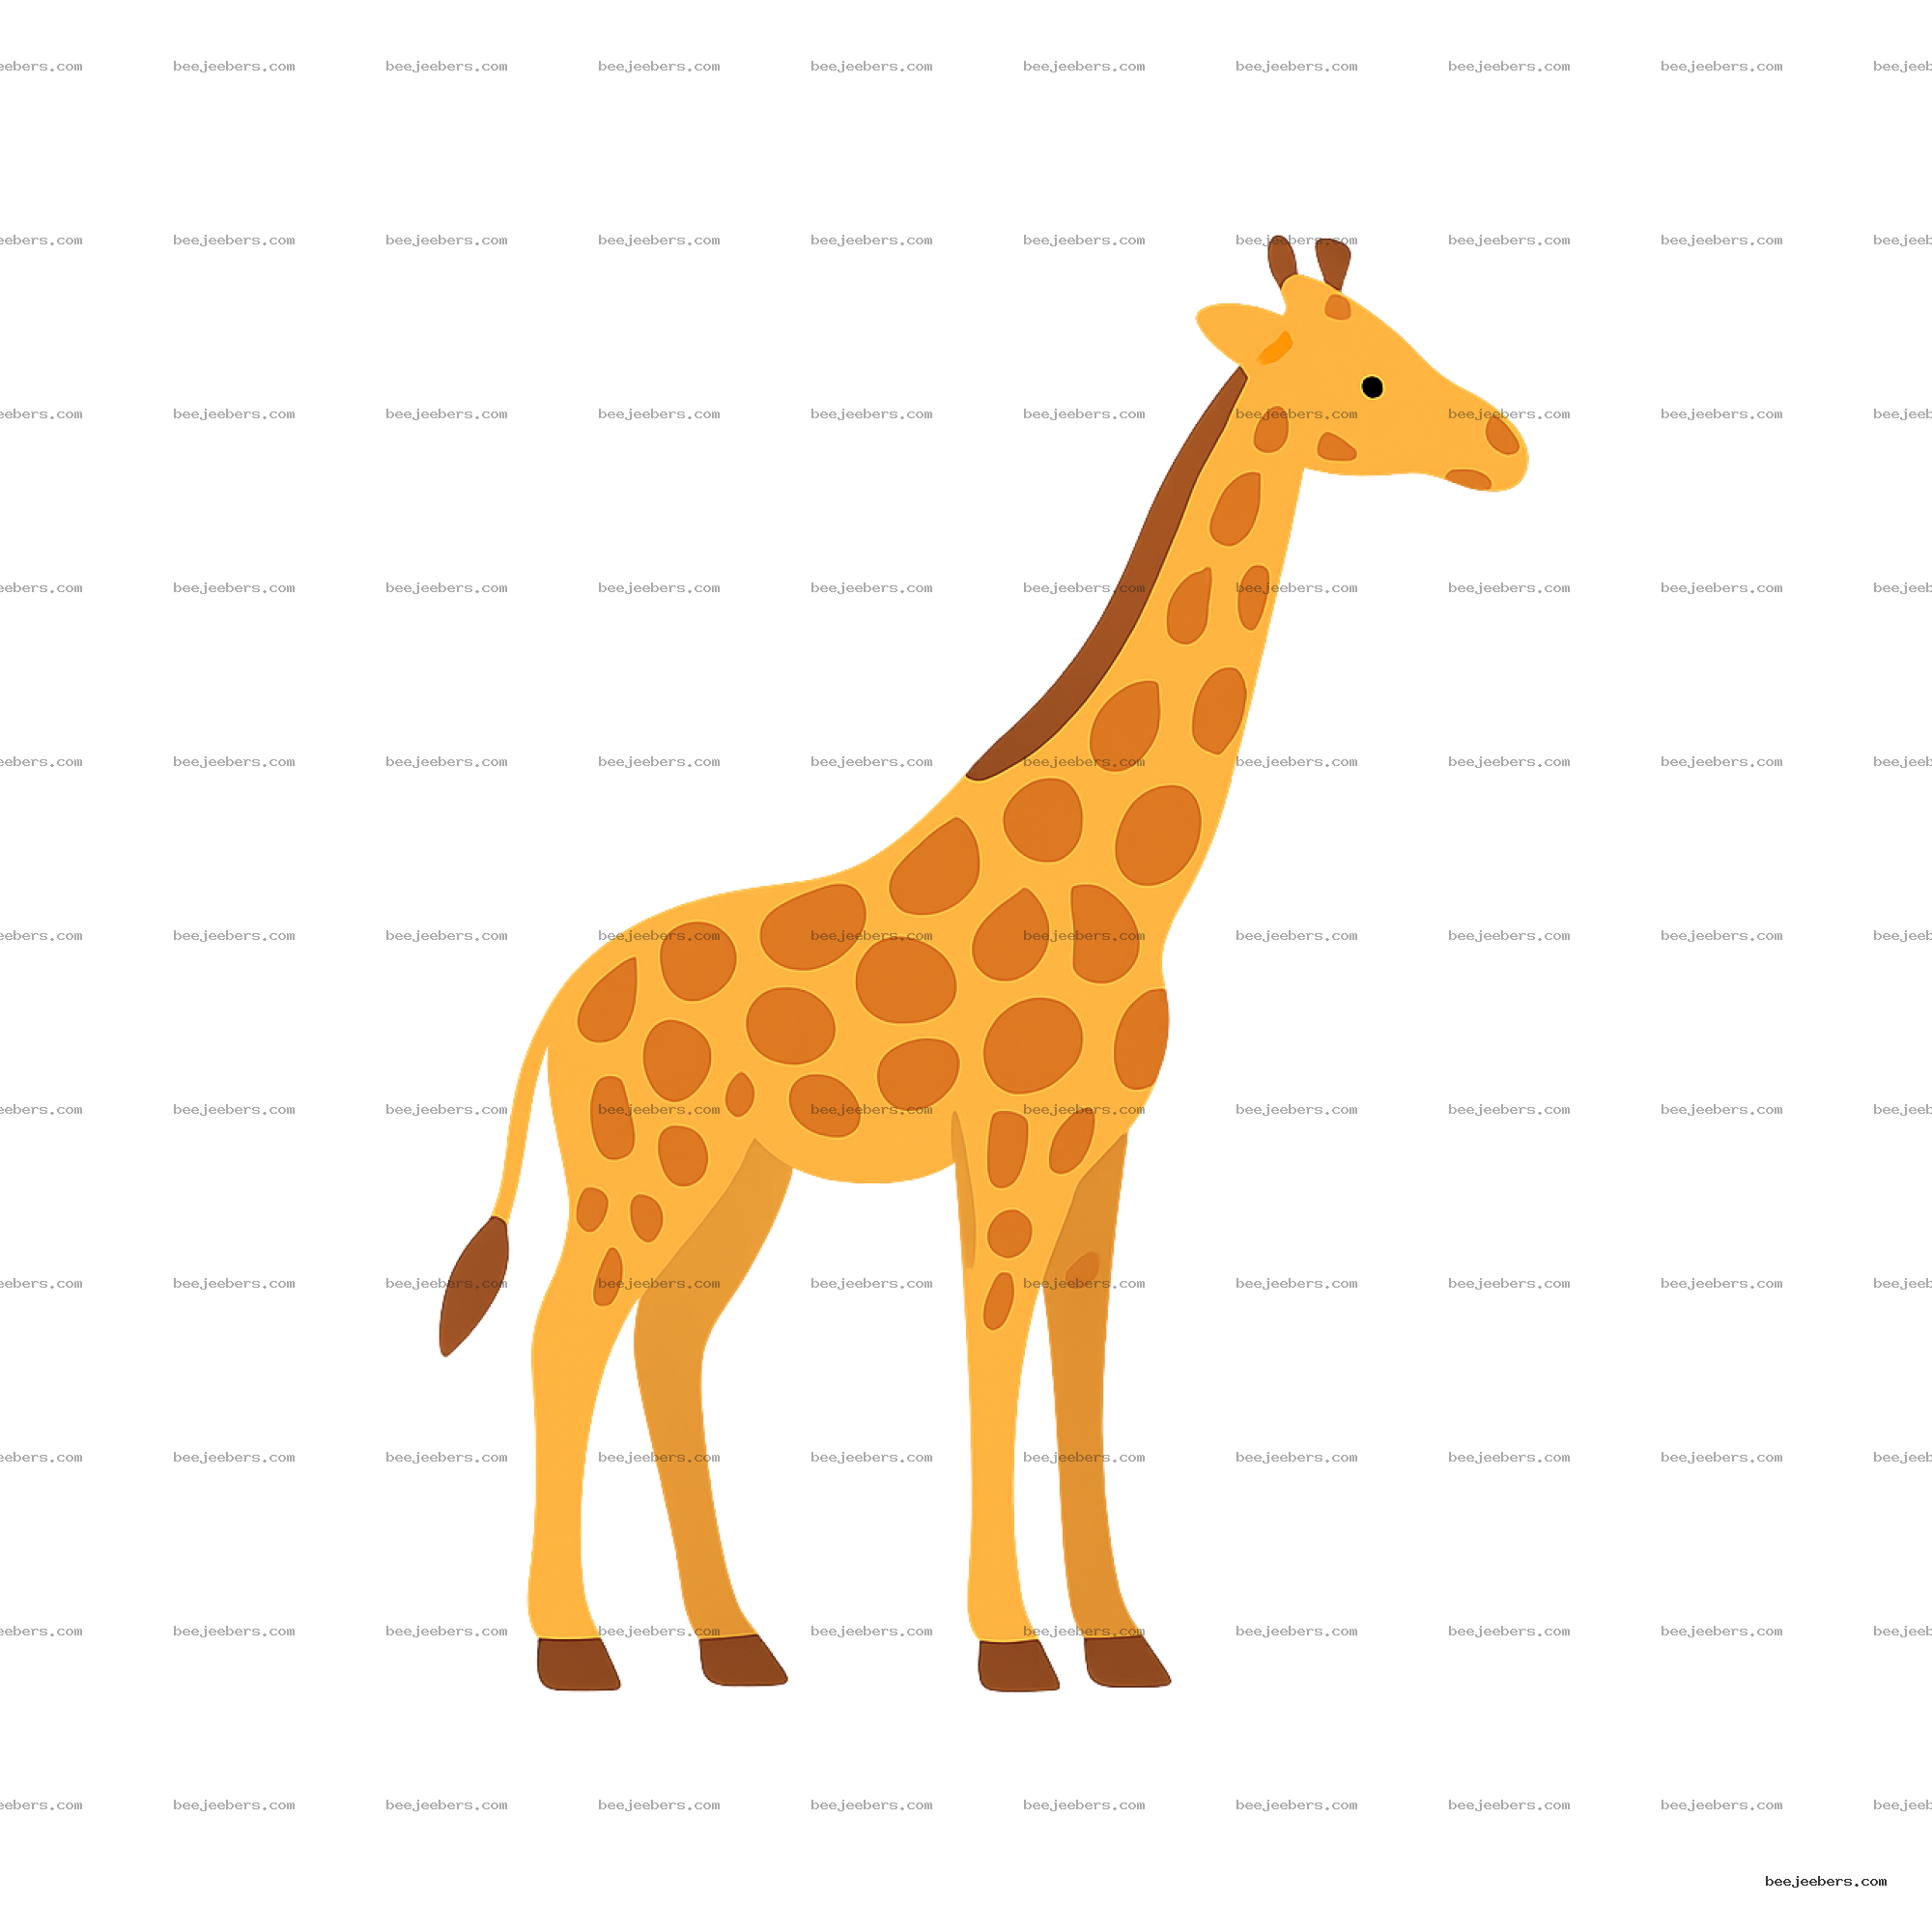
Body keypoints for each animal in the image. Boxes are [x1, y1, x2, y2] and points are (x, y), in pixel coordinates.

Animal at [436, 233, 1526, 1695]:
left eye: (1405, 343)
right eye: (1367, 377)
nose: (1507, 446)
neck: (1131, 885)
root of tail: (557, 1008)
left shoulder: (1101, 1146)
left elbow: (1081, 1367)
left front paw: (1117, 1638)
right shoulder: (1004, 1144)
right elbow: (992, 1357)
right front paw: (1008, 1642)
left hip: (735, 1180)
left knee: (667, 1346)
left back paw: (735, 1640)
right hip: (640, 1173)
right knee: (568, 1337)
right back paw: (574, 1645)